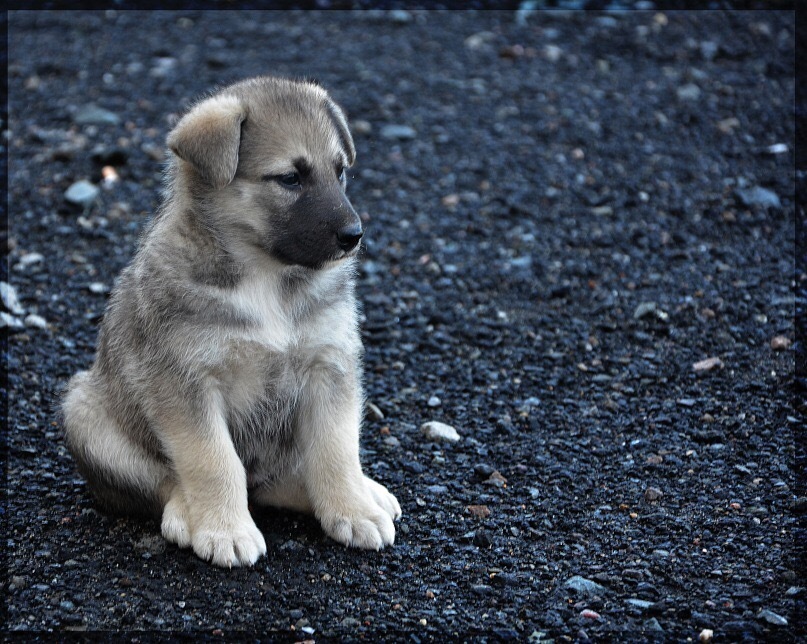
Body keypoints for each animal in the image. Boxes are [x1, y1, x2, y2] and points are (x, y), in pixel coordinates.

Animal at [61, 78, 402, 568]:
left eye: (339, 172)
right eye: (290, 178)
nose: (353, 236)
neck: (266, 278)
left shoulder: (329, 365)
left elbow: (336, 450)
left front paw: (352, 509)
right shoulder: (185, 382)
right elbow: (213, 461)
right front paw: (226, 530)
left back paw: (361, 492)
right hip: (85, 412)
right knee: (167, 483)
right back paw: (187, 514)